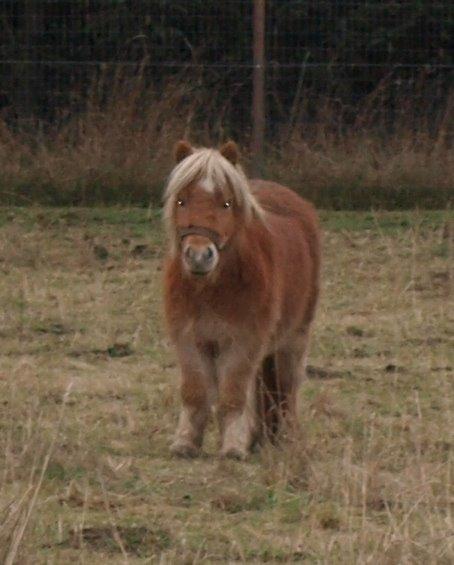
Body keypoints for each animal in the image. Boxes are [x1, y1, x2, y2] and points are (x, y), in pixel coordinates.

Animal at [161, 140, 320, 458]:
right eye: (181, 201)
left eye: (226, 203)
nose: (199, 255)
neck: (211, 288)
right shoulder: (189, 339)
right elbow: (194, 391)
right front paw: (185, 442)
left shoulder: (243, 341)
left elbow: (233, 394)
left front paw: (234, 446)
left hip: (295, 337)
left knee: (287, 387)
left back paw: (286, 438)